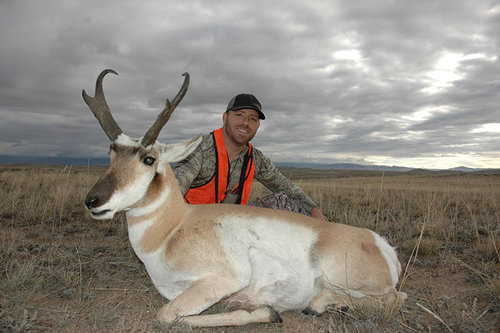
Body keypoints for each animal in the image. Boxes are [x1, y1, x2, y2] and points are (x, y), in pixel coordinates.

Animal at [82, 68, 404, 326]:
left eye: (148, 159)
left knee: (394, 298)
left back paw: (323, 305)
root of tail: (381, 244)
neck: (172, 228)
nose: (93, 201)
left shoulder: (223, 279)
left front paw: (267, 312)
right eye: (110, 154)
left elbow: (167, 316)